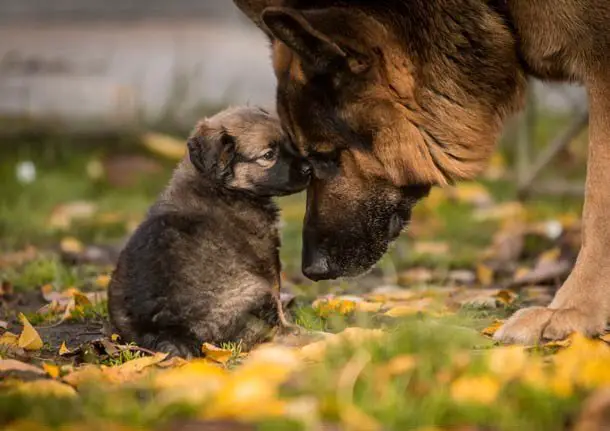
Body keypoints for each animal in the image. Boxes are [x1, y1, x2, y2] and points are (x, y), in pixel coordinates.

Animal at [105, 107, 308, 358]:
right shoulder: (267, 259)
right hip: (255, 290)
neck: (218, 185)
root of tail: (167, 330)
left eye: (290, 142)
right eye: (269, 155)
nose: (309, 169)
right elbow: (277, 296)